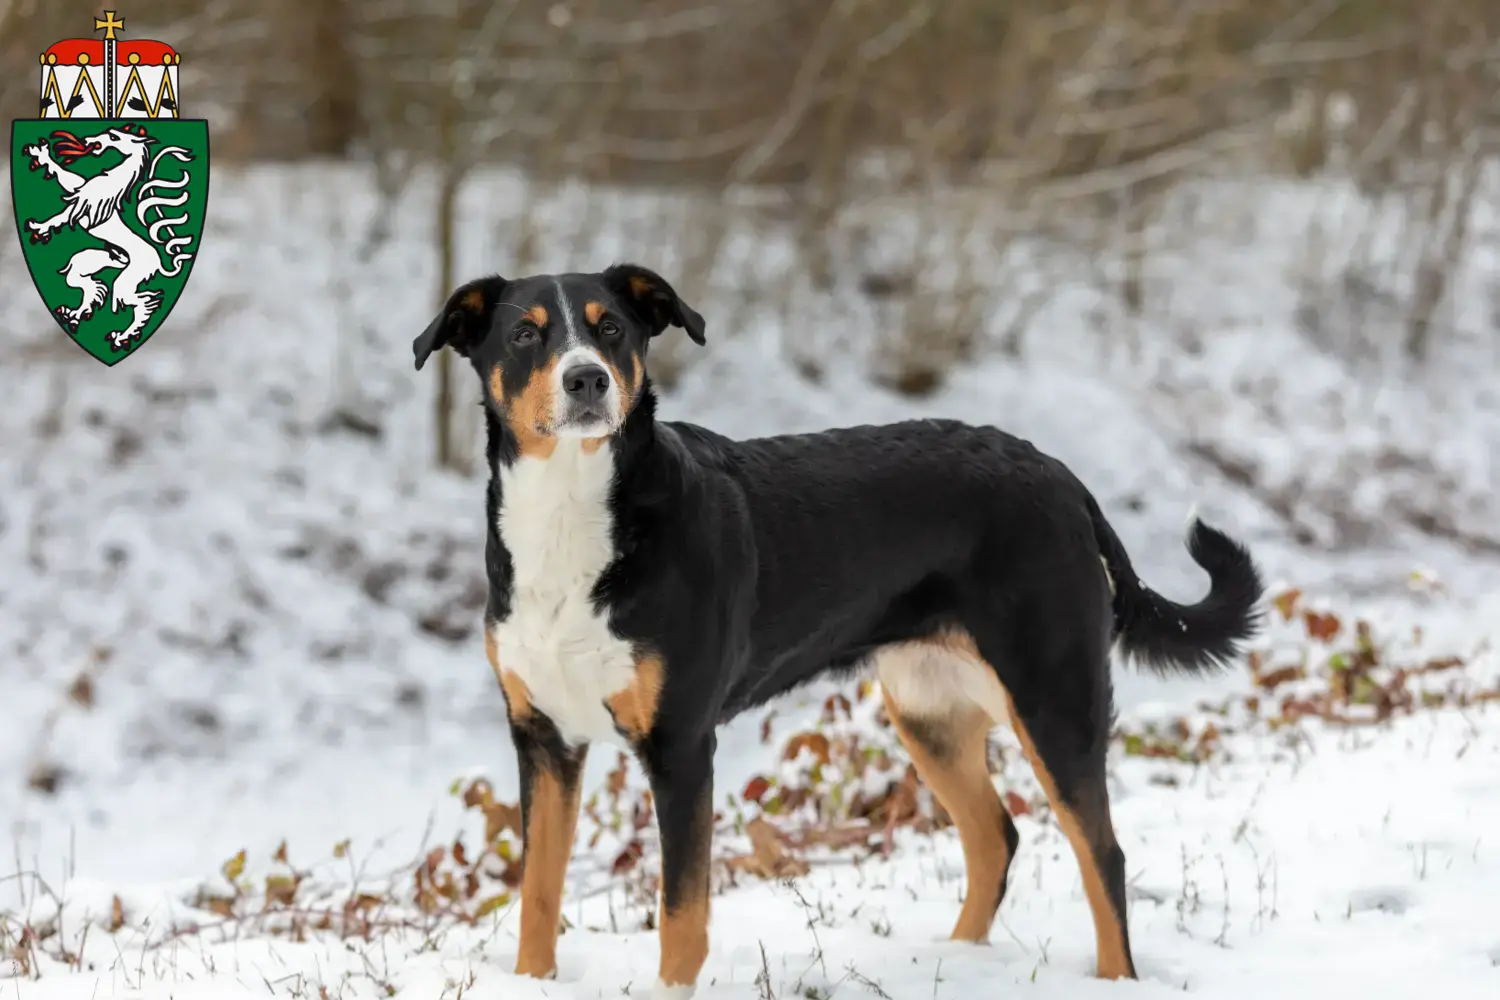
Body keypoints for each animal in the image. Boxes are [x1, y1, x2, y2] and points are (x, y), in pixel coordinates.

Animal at [411, 263, 1266, 995]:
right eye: (526, 334)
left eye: (611, 328)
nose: (586, 379)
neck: (571, 513)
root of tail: (1057, 473)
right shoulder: (543, 737)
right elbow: (537, 897)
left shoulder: (681, 745)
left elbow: (681, 916)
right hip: (929, 711)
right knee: (996, 837)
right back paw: (958, 962)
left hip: (1053, 699)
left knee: (1103, 856)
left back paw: (1112, 980)